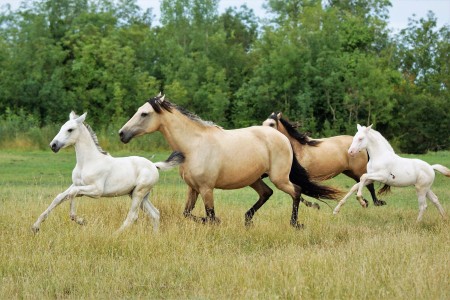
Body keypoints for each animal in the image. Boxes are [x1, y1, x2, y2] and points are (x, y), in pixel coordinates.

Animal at [31, 111, 185, 233]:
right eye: (62, 127)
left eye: (70, 129)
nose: (53, 145)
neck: (88, 162)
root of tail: (153, 165)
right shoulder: (77, 185)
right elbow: (60, 197)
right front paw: (35, 227)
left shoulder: (96, 191)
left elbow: (72, 194)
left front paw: (80, 220)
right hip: (140, 195)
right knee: (155, 213)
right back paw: (154, 236)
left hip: (139, 193)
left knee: (132, 216)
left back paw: (115, 235)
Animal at [119, 94, 342, 227]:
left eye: (144, 113)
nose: (122, 134)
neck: (193, 146)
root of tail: (282, 138)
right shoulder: (193, 188)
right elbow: (187, 213)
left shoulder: (207, 189)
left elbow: (210, 215)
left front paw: (216, 222)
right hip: (255, 179)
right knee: (267, 193)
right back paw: (247, 220)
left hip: (279, 178)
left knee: (296, 191)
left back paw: (295, 224)